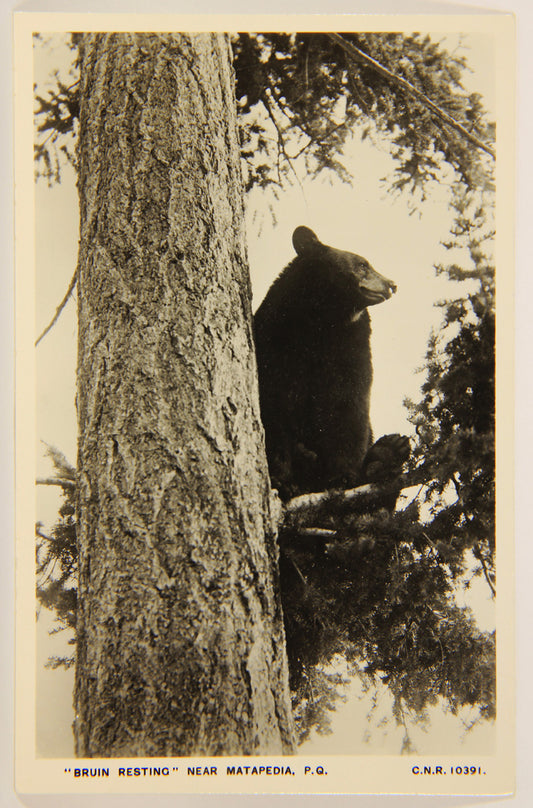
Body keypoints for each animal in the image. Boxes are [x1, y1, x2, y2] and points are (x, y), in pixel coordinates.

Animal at [254, 226, 408, 498]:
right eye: (362, 264)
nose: (392, 284)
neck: (322, 322)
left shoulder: (351, 346)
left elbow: (347, 405)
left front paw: (343, 476)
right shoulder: (274, 340)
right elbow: (274, 408)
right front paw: (282, 480)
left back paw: (386, 454)